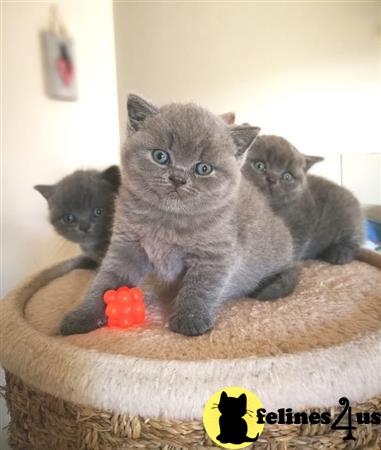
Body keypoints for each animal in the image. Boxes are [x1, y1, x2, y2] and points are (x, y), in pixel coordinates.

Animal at [60, 96, 296, 338]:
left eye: (203, 168)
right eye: (160, 156)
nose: (178, 178)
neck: (168, 220)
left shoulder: (215, 254)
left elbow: (201, 286)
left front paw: (190, 319)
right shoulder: (126, 244)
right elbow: (106, 280)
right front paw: (82, 316)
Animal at [242, 135, 364, 264]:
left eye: (287, 176)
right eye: (259, 165)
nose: (272, 179)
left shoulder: (303, 222)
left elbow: (292, 246)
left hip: (348, 214)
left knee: (355, 240)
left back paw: (340, 253)